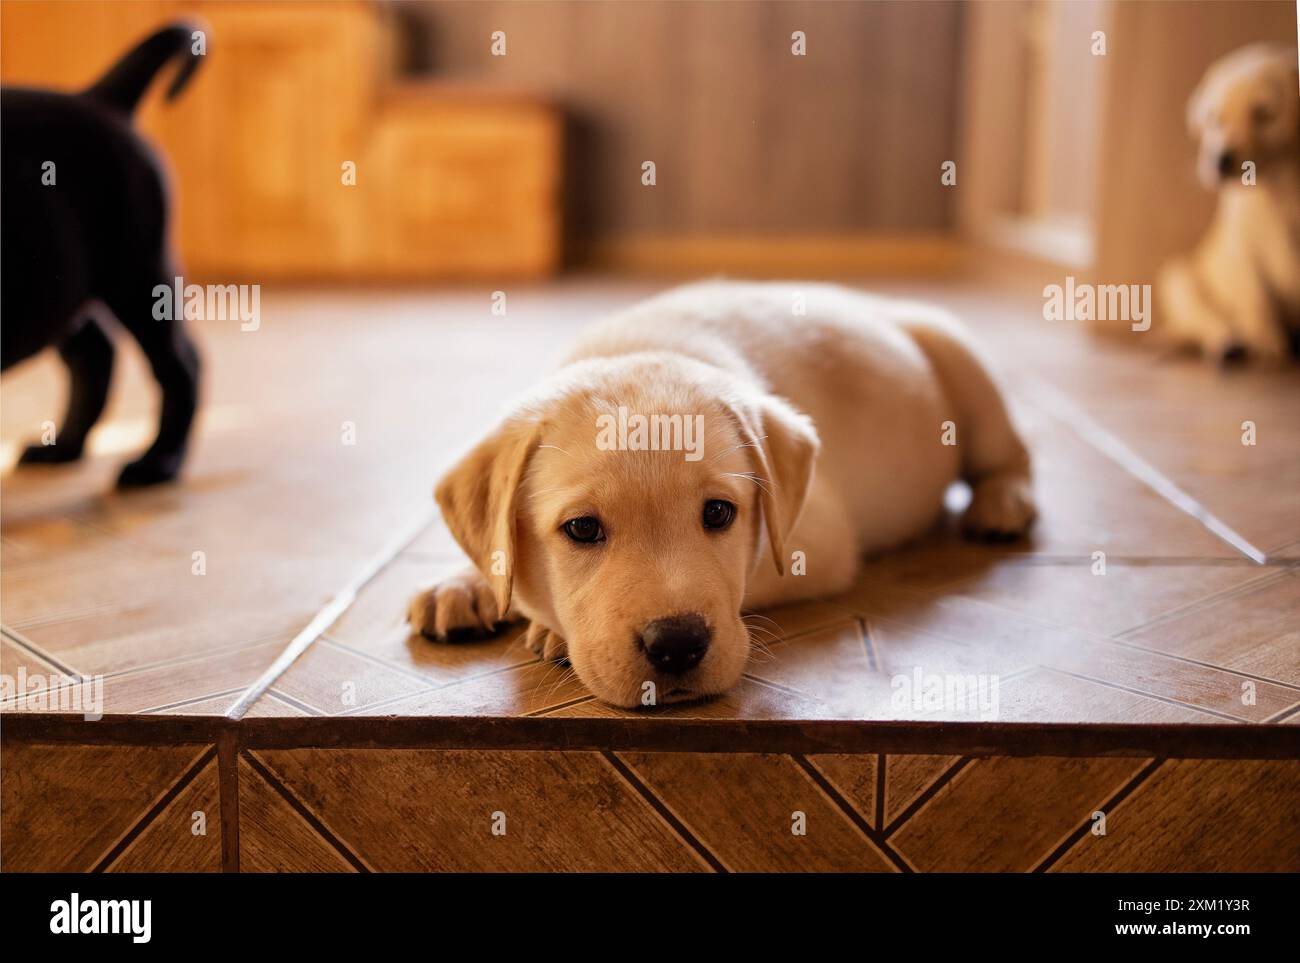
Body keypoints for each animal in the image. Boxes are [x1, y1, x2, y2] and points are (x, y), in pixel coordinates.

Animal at [1, 24, 202, 488]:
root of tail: (99, 98)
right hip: (60, 281)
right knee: (95, 354)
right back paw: (65, 446)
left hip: (137, 275)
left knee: (180, 364)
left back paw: (159, 461)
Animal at [405, 279, 1034, 706]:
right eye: (582, 528)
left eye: (718, 514)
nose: (677, 645)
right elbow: (495, 552)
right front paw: (464, 585)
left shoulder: (818, 539)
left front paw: (548, 629)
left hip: (960, 362)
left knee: (1012, 451)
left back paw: (1003, 502)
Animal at [1159, 43, 1300, 361]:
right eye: (1214, 118)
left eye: (1264, 114)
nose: (1218, 161)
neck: (1279, 189)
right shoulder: (1243, 245)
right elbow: (1257, 294)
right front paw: (1271, 345)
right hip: (1178, 278)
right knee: (1207, 321)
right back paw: (1226, 344)